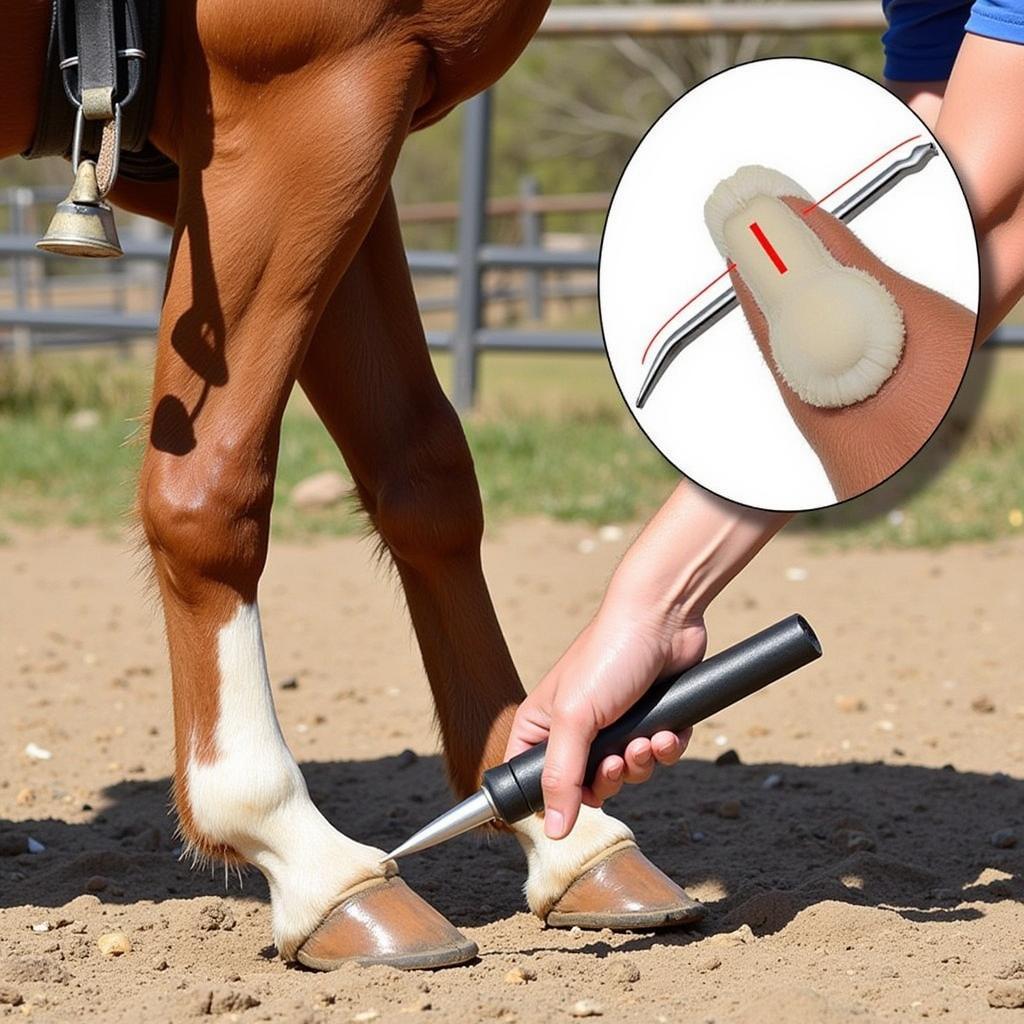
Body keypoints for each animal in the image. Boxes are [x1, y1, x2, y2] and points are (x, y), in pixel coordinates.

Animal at [2, 0, 704, 966]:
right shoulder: (299, 102)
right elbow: (208, 489)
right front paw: (305, 855)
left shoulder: (354, 122)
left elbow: (422, 470)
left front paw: (555, 821)